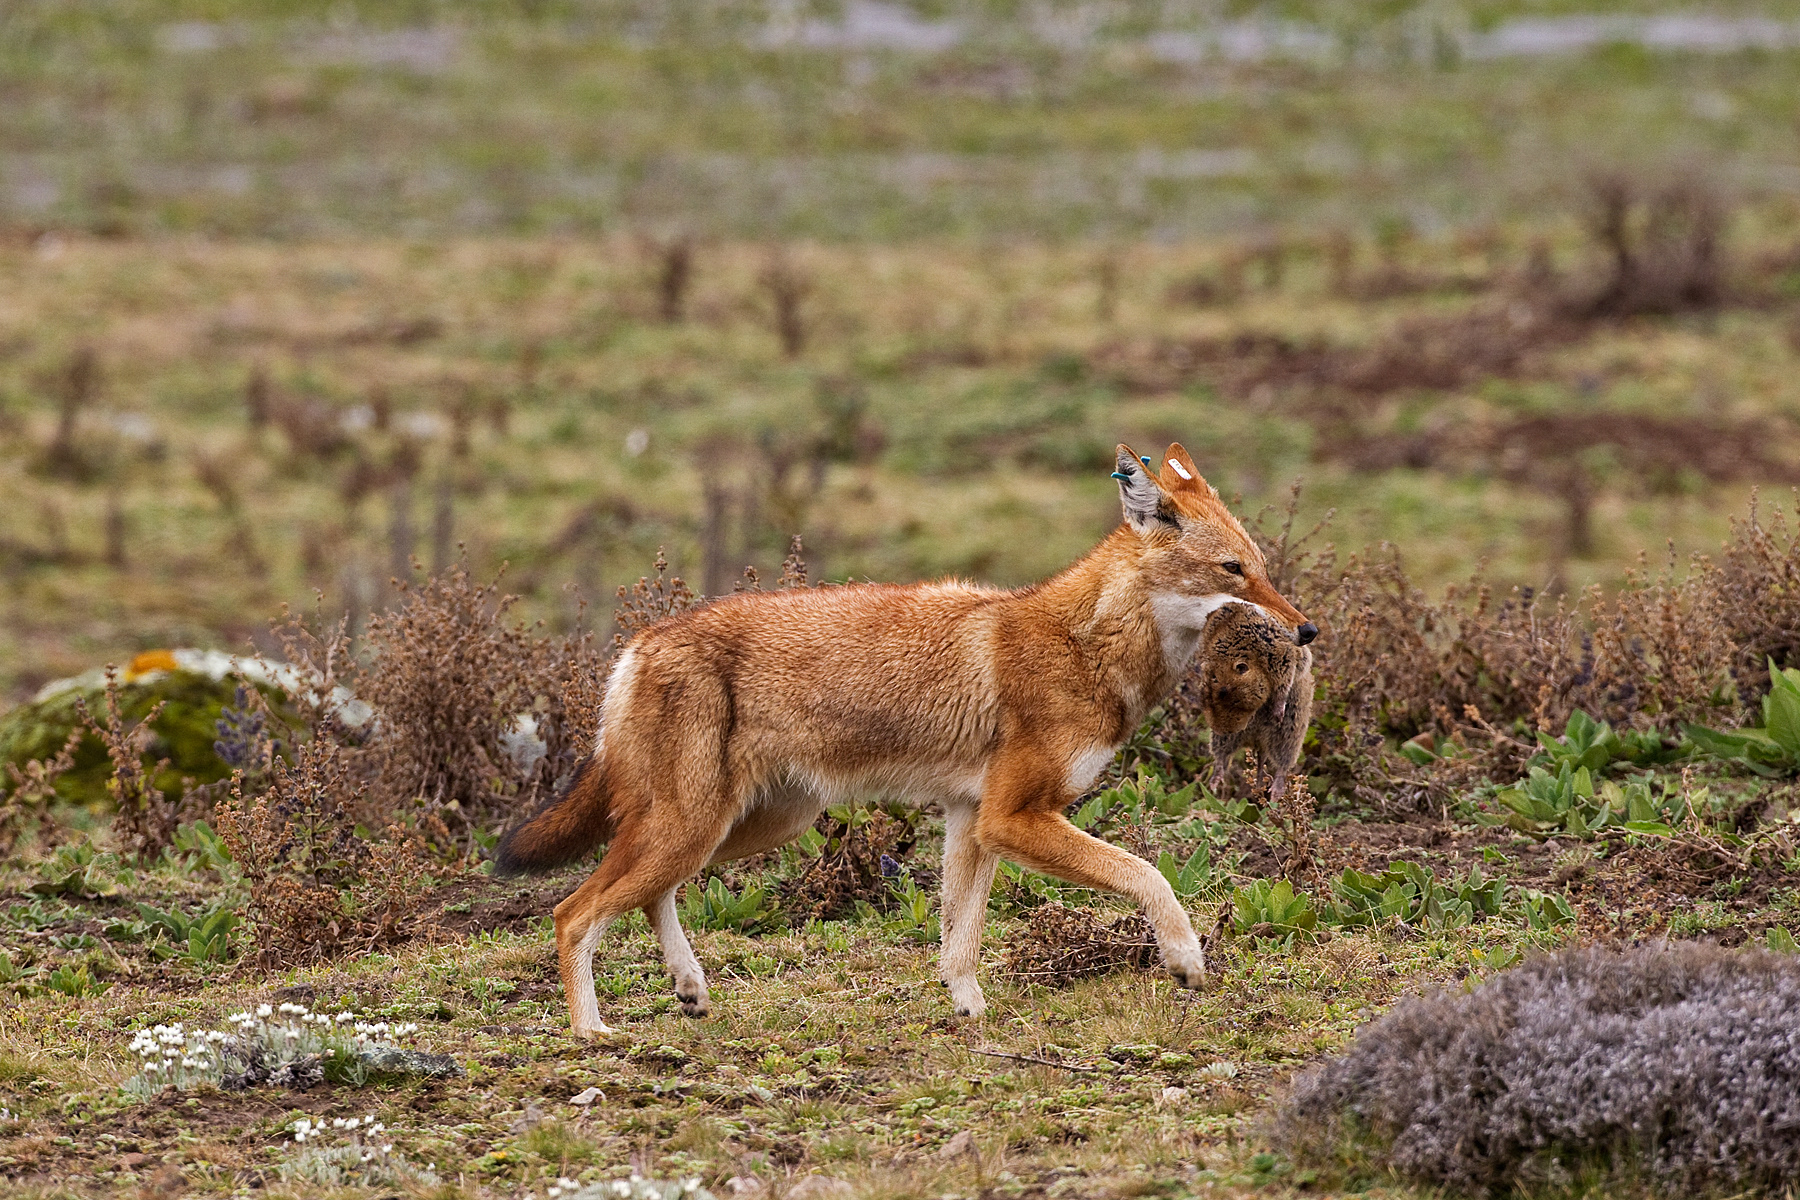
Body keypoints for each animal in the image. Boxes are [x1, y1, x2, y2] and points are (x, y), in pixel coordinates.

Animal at [495, 443, 1315, 1037]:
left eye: (1264, 570)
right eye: (1233, 570)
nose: (1306, 631)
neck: (1087, 645)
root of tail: (639, 643)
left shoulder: (971, 822)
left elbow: (961, 936)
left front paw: (969, 1009)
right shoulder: (1013, 818)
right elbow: (1149, 875)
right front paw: (1184, 960)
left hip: (738, 830)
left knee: (648, 896)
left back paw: (690, 989)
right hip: (696, 829)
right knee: (573, 915)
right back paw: (592, 1033)